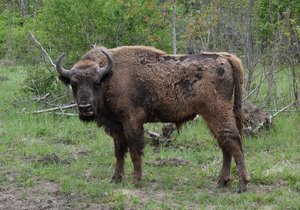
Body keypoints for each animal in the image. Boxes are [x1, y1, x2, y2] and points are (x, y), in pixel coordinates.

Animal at [55, 45, 250, 192]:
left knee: (233, 141)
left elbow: (135, 150)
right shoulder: (117, 126)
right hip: (213, 117)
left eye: (96, 82)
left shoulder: (132, 121)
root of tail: (225, 57)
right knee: (225, 143)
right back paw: (222, 182)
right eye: (73, 83)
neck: (110, 76)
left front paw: (136, 181)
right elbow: (119, 151)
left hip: (217, 113)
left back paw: (242, 185)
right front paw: (116, 178)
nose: (85, 108)